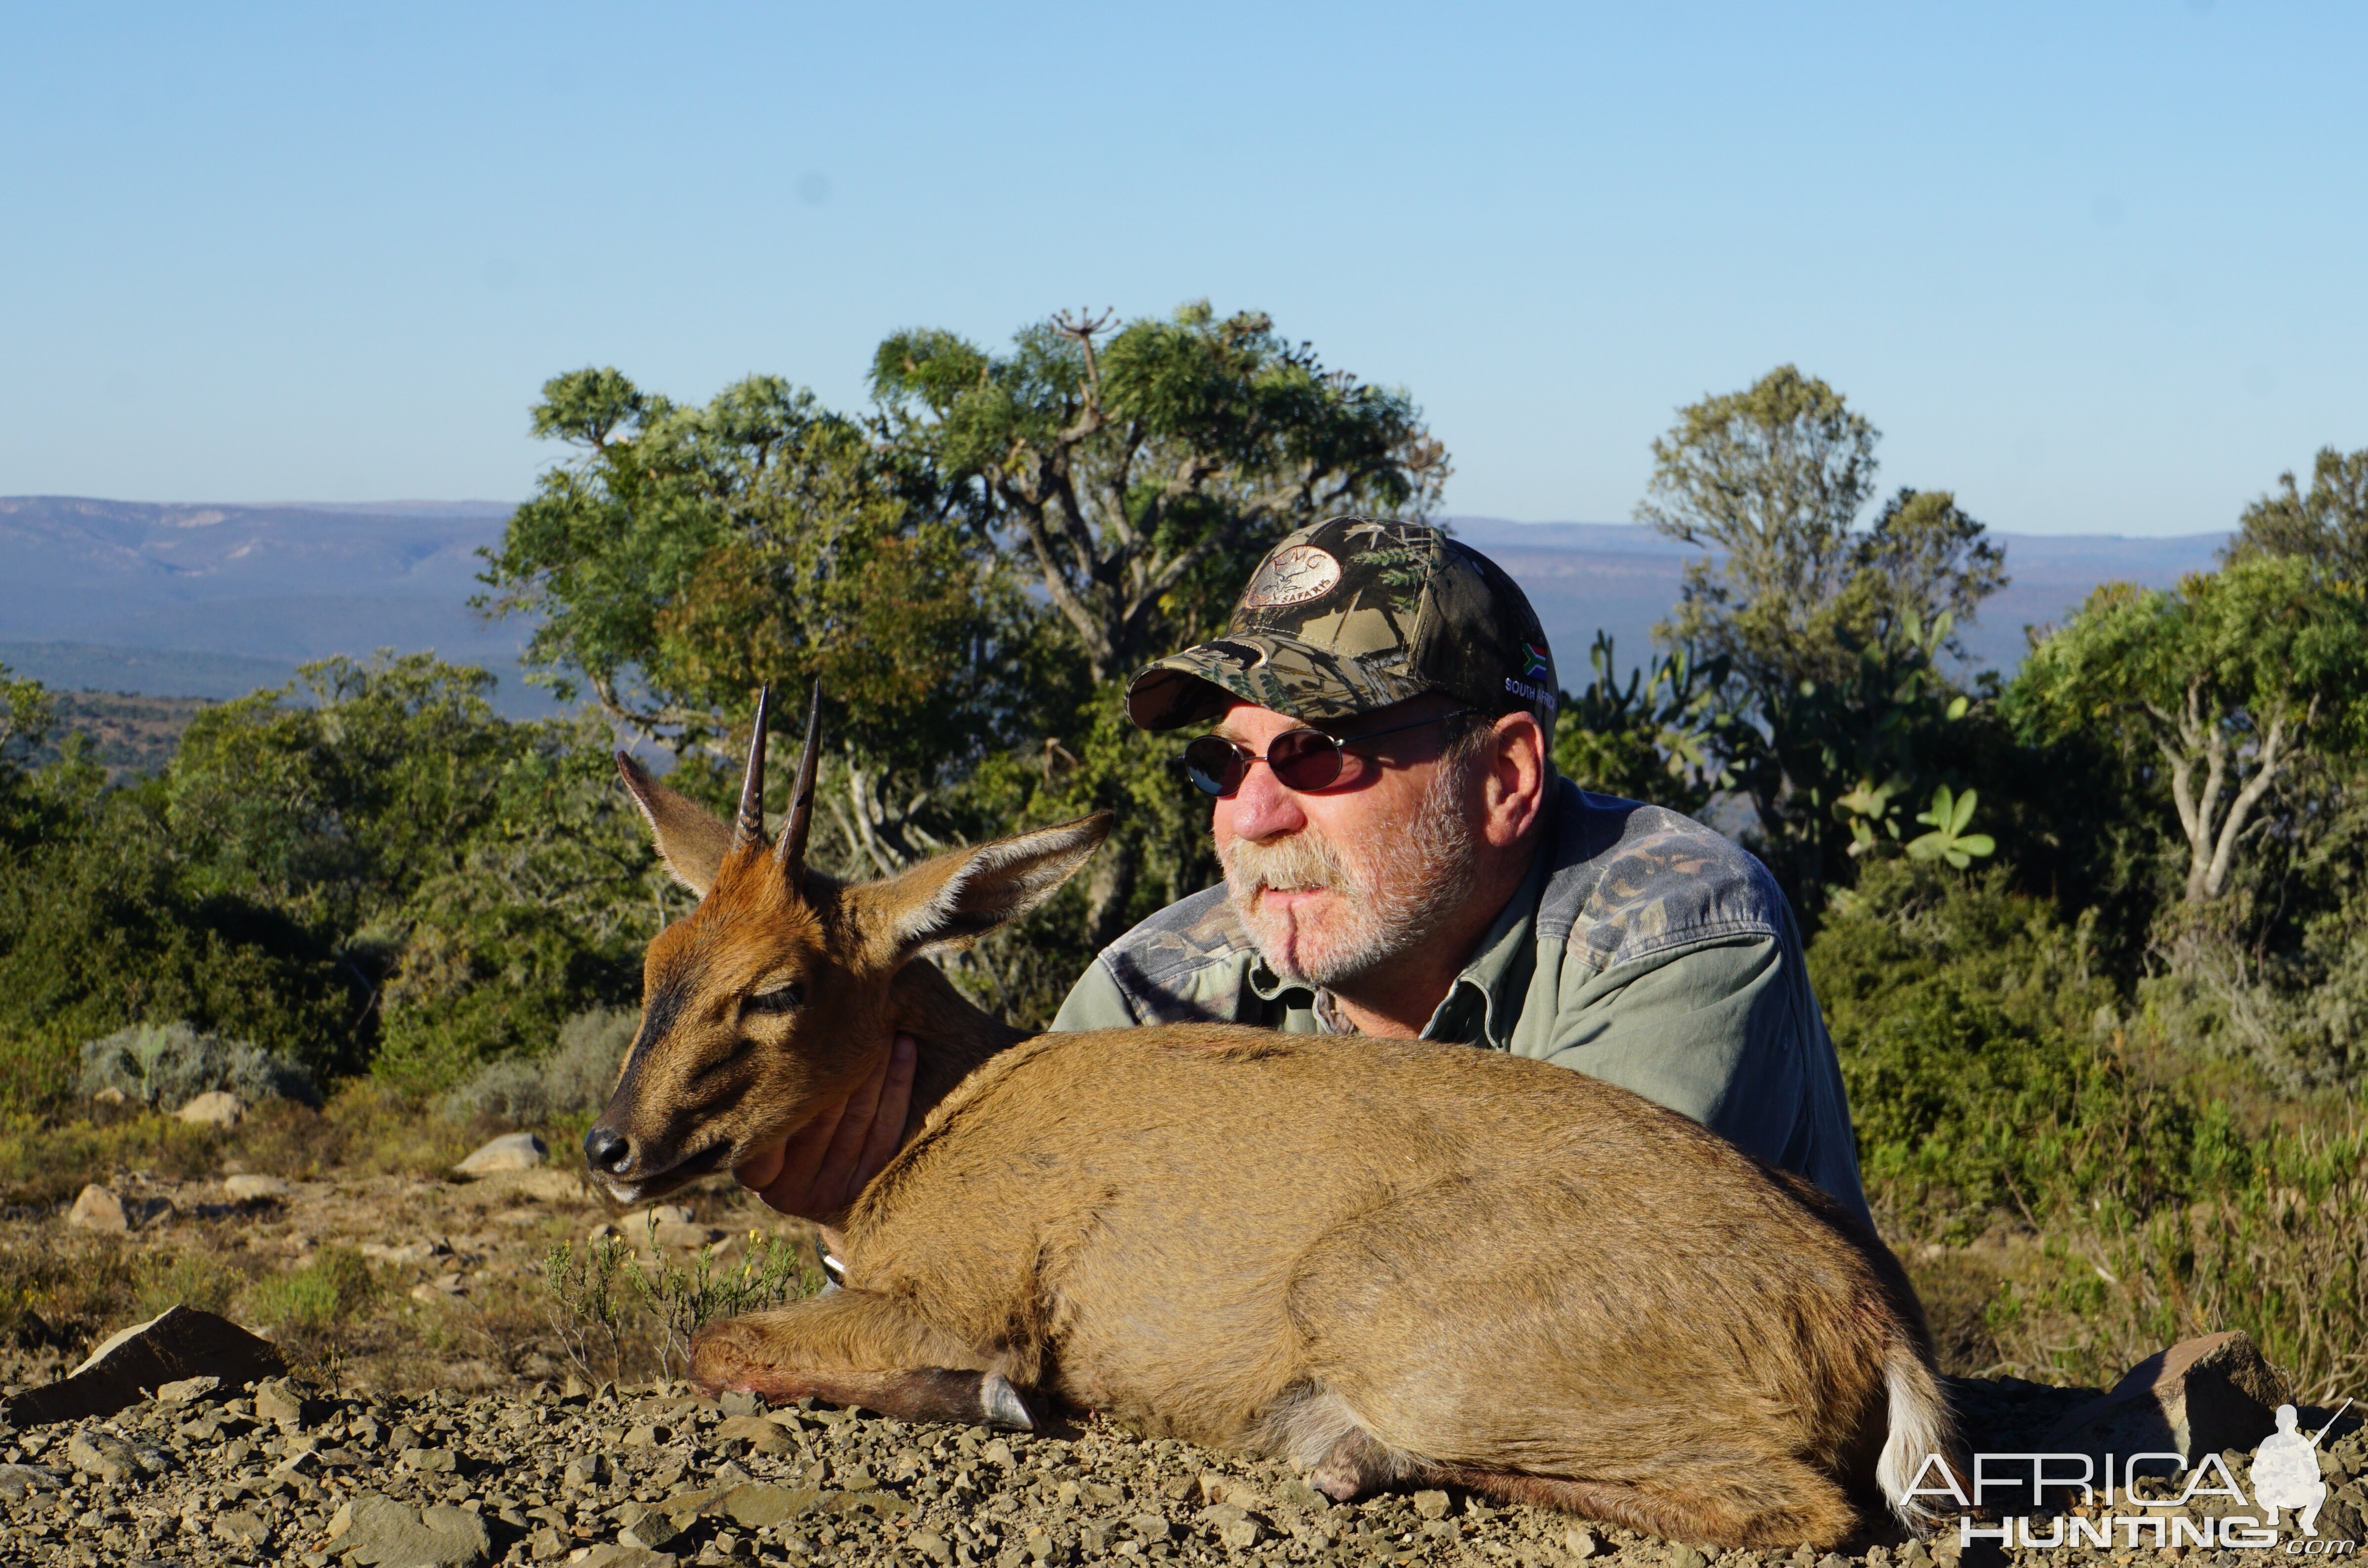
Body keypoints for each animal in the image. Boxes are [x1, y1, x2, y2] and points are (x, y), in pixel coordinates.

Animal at [587, 696, 1961, 1554]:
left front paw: (997, 1402)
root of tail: (1870, 1310)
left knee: (1798, 1506)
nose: (613, 1148)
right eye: (655, 961)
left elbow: (718, 1341)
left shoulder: (966, 1295)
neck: (945, 1111)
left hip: (1369, 1297)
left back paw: (1336, 1444)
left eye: (775, 987)